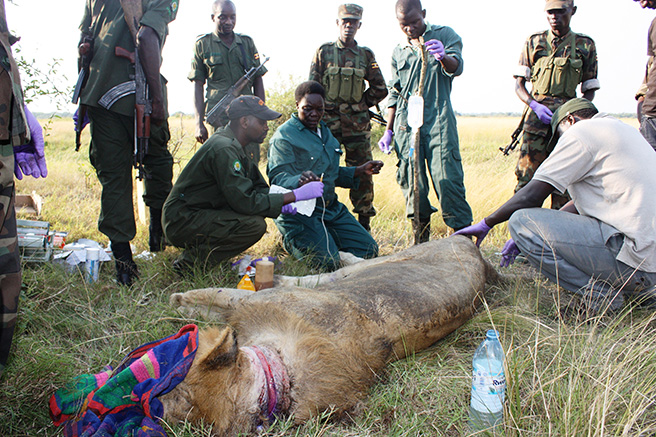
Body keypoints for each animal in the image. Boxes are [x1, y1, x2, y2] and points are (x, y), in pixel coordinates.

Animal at [163, 237, 498, 434]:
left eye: (176, 391)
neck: (283, 377)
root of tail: (476, 250)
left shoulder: (254, 304)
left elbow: (217, 295)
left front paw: (178, 299)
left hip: (388, 260)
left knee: (336, 270)